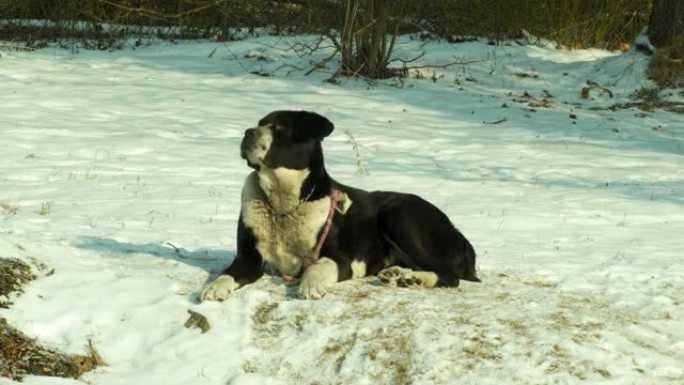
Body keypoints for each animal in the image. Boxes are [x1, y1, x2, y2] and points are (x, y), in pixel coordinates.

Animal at [200, 111, 478, 300]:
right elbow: (229, 272)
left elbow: (318, 265)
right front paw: (214, 286)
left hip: (399, 215)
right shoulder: (249, 256)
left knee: (449, 275)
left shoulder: (342, 259)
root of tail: (461, 236)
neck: (283, 205)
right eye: (259, 124)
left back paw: (416, 279)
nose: (248, 132)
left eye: (279, 127)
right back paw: (397, 274)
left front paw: (310, 284)